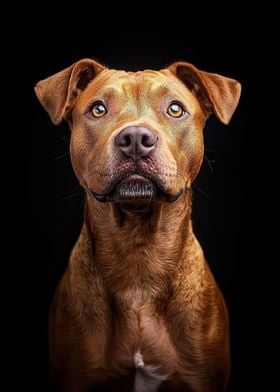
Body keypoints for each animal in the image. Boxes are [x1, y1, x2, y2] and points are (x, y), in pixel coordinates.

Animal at [34, 59, 241, 392]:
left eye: (175, 108)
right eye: (98, 109)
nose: (135, 139)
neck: (138, 252)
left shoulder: (200, 377)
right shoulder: (76, 374)